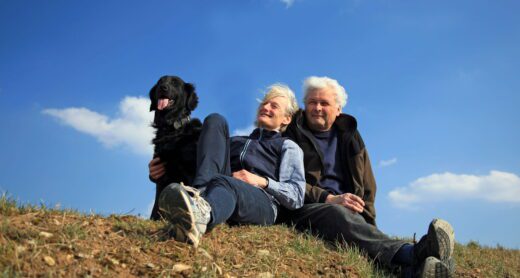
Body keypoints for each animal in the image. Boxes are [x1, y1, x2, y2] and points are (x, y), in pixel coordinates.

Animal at [149, 75, 202, 220]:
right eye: (160, 82)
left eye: (175, 83)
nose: (163, 88)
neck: (172, 128)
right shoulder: (161, 169)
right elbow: (158, 200)